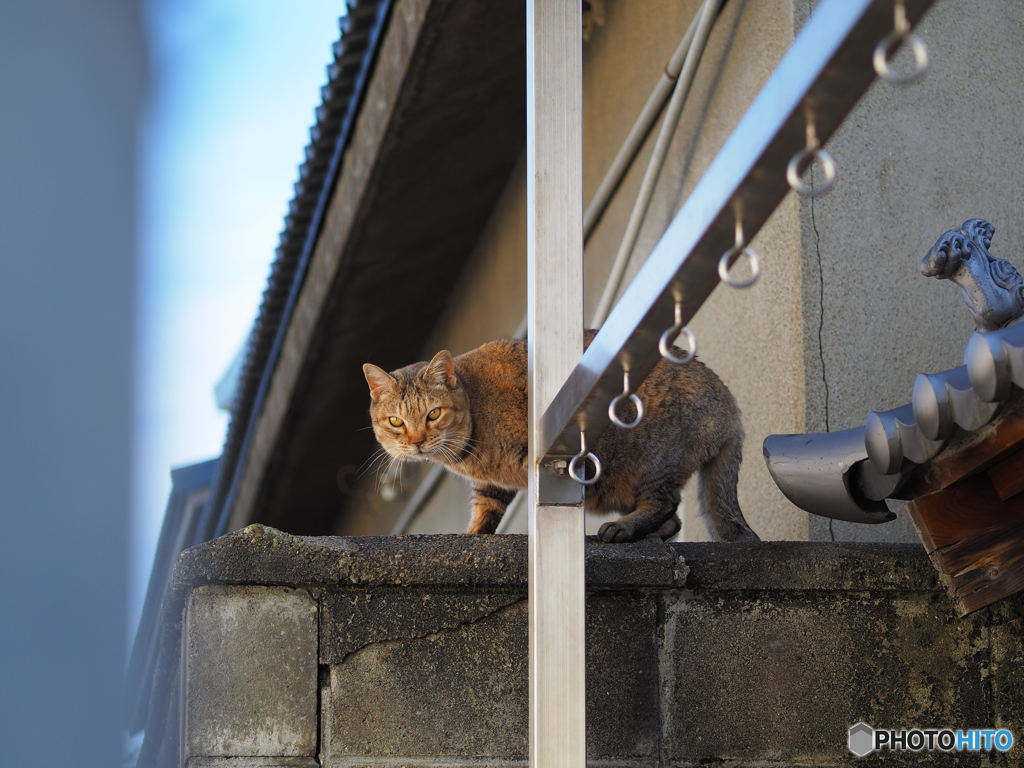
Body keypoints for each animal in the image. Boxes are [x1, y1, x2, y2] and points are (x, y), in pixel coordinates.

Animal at [364, 333, 757, 544]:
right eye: (396, 421)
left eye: (433, 414)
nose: (416, 441)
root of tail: (731, 407)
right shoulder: (491, 484)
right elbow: (485, 510)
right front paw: (473, 534)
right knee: (672, 521)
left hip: (653, 460)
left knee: (665, 504)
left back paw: (622, 529)